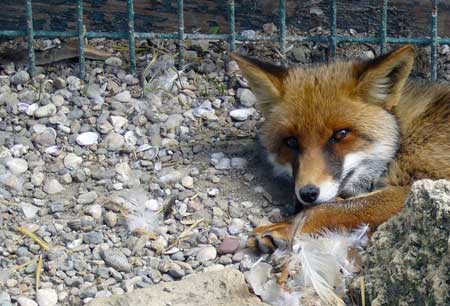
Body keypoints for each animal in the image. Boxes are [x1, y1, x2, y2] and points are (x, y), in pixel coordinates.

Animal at [230, 44, 450, 251]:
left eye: (341, 134)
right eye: (291, 141)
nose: (308, 193)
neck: (406, 137)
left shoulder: (429, 183)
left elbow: (333, 208)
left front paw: (287, 228)